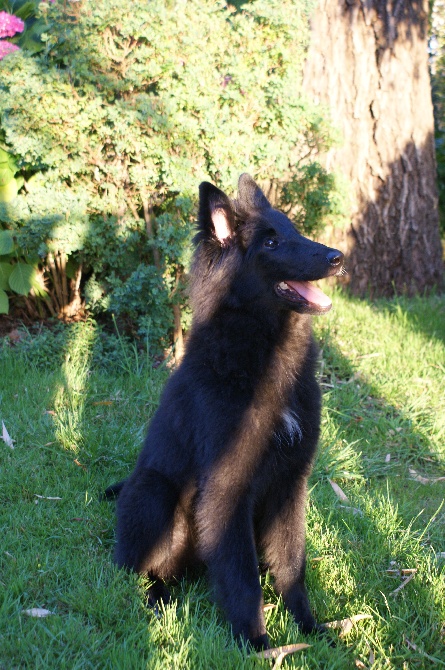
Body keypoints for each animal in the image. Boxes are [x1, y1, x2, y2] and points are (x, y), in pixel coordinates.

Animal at [105, 173, 344, 652]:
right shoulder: (228, 490)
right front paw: (256, 643)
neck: (264, 356)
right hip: (154, 496)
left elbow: (292, 565)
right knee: (140, 573)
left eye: (292, 231)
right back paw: (158, 606)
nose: (338, 258)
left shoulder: (289, 484)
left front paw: (307, 628)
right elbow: (243, 579)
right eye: (270, 242)